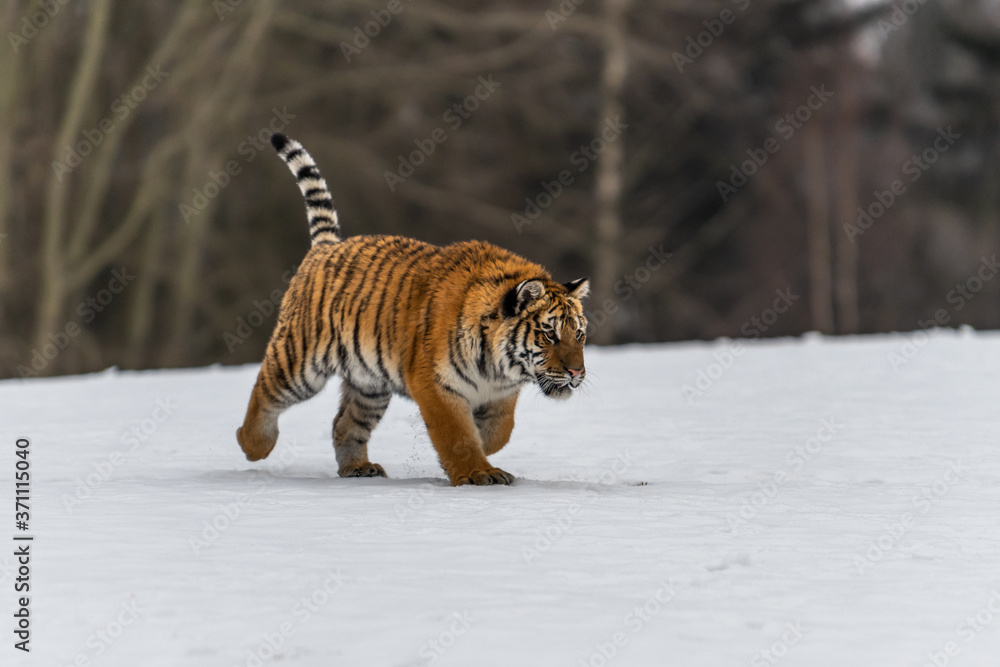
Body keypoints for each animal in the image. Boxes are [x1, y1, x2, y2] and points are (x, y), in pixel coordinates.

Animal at [237, 132, 588, 486]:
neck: (500, 367)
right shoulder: (435, 383)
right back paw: (253, 444)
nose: (576, 373)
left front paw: (483, 448)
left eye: (580, 334)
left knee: (345, 423)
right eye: (549, 334)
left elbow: (500, 429)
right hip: (301, 361)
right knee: (264, 390)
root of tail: (327, 246)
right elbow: (457, 434)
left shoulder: (501, 393)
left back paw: (357, 468)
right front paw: (476, 473)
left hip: (369, 384)